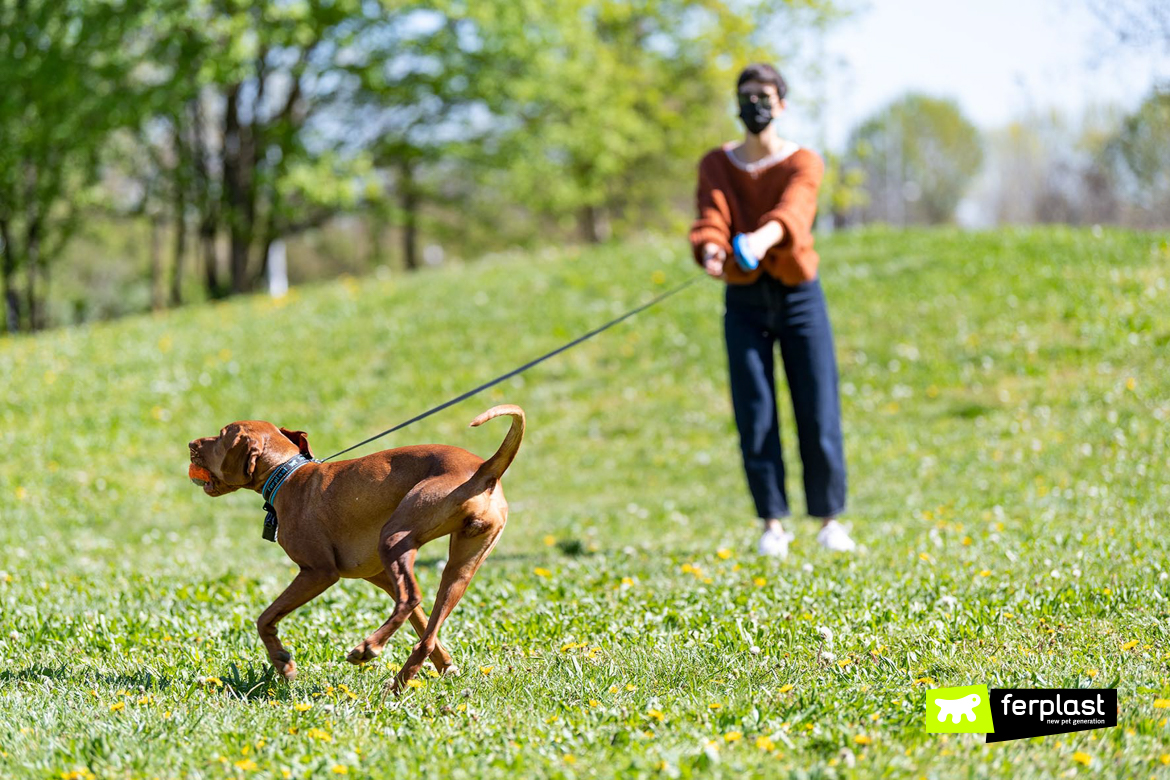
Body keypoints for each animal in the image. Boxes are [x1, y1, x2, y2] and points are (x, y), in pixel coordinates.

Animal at [186, 406, 521, 692]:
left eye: (221, 435)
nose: (191, 443)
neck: (288, 474)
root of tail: (484, 470)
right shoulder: (380, 576)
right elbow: (423, 623)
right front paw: (446, 665)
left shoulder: (318, 572)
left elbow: (265, 618)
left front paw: (283, 663)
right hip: (459, 568)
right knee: (425, 626)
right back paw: (399, 682)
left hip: (394, 538)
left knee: (411, 596)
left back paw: (368, 648)